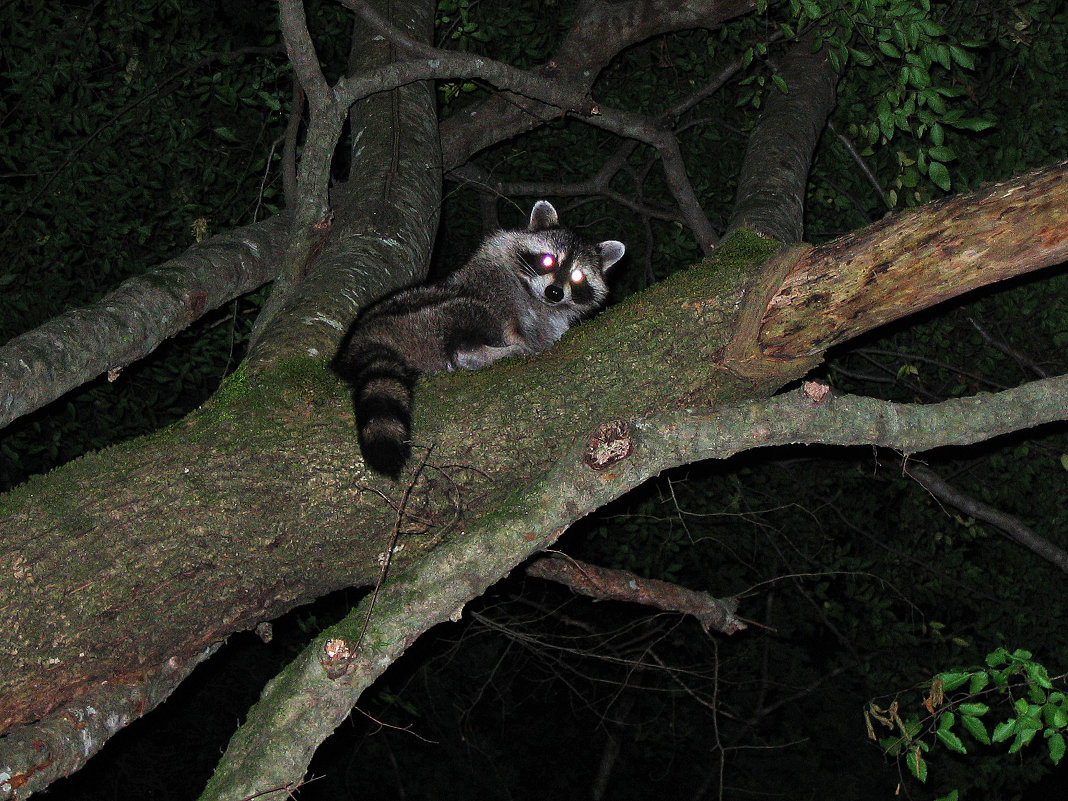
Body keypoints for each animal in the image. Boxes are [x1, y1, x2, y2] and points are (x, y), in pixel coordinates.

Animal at [333, 200, 623, 480]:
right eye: (549, 261)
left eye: (577, 276)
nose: (554, 292)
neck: (537, 299)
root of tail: (364, 338)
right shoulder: (492, 274)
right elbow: (502, 309)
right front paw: (522, 340)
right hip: (426, 316)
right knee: (473, 318)